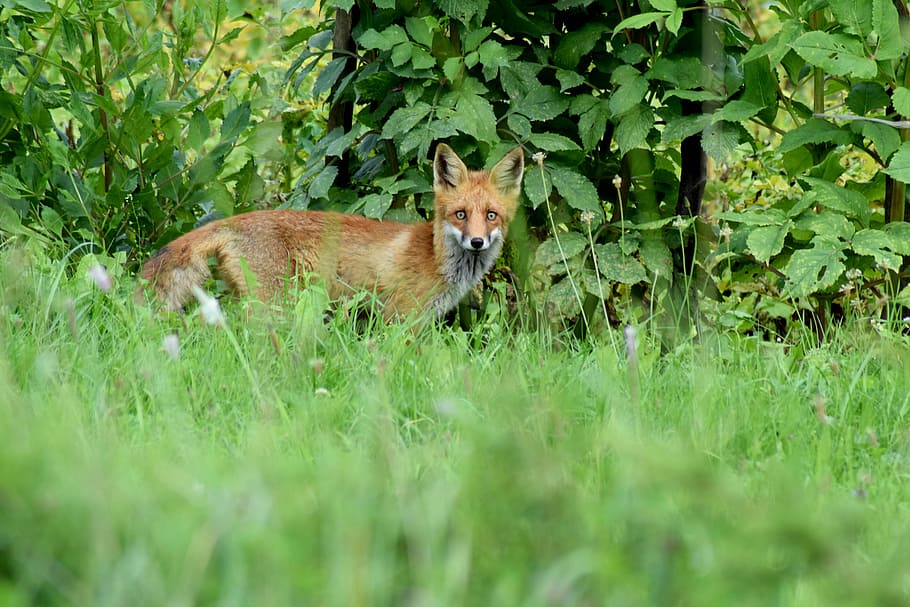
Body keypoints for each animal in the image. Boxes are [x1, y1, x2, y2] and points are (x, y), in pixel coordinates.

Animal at [138, 143, 525, 319]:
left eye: (491, 215)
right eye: (460, 214)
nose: (477, 241)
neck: (435, 258)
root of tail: (237, 220)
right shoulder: (401, 317)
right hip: (276, 305)